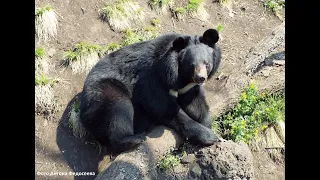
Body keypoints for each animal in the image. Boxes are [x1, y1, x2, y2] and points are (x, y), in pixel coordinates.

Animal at [79, 28, 221, 153]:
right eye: (192, 65)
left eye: (206, 64)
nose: (201, 78)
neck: (179, 76)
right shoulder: (152, 78)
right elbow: (164, 108)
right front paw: (209, 137)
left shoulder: (188, 88)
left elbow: (195, 103)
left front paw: (208, 124)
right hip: (104, 90)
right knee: (118, 107)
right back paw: (133, 139)